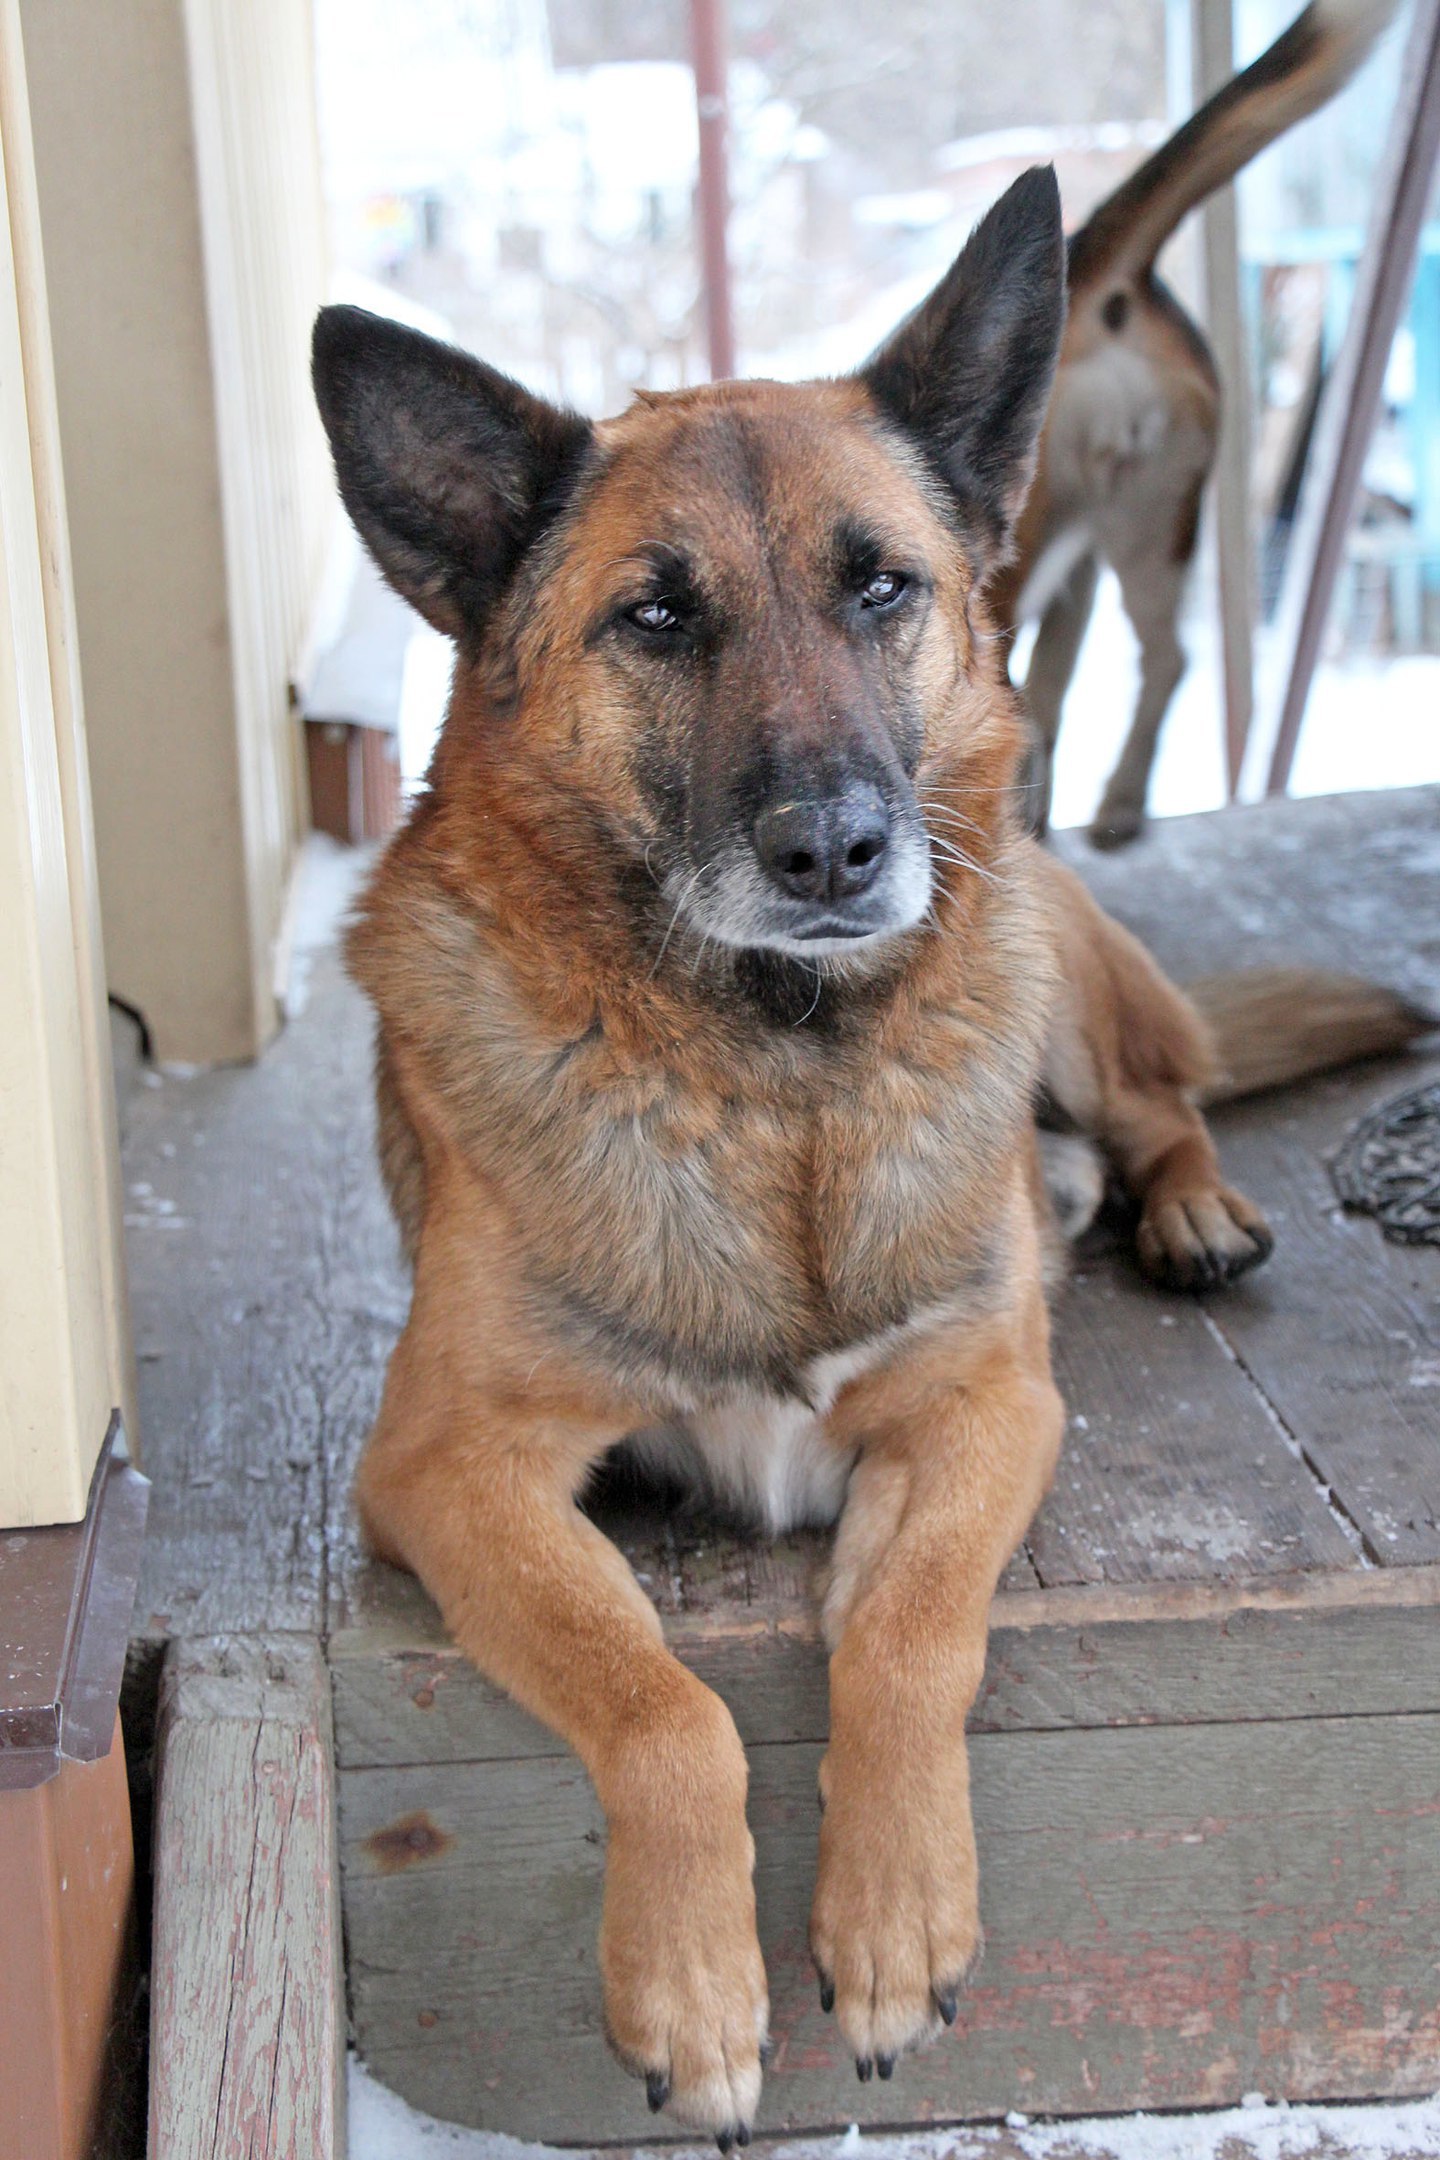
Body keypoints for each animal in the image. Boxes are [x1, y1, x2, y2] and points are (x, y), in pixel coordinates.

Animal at [313, 159, 1416, 2134]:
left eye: (882, 585)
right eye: (655, 619)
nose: (834, 847)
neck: (781, 1085)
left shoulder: (988, 1405)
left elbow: (905, 1635)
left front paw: (896, 1921)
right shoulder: (448, 1468)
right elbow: (659, 1698)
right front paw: (693, 1988)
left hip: (1052, 951)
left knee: (1168, 1096)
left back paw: (1190, 1210)